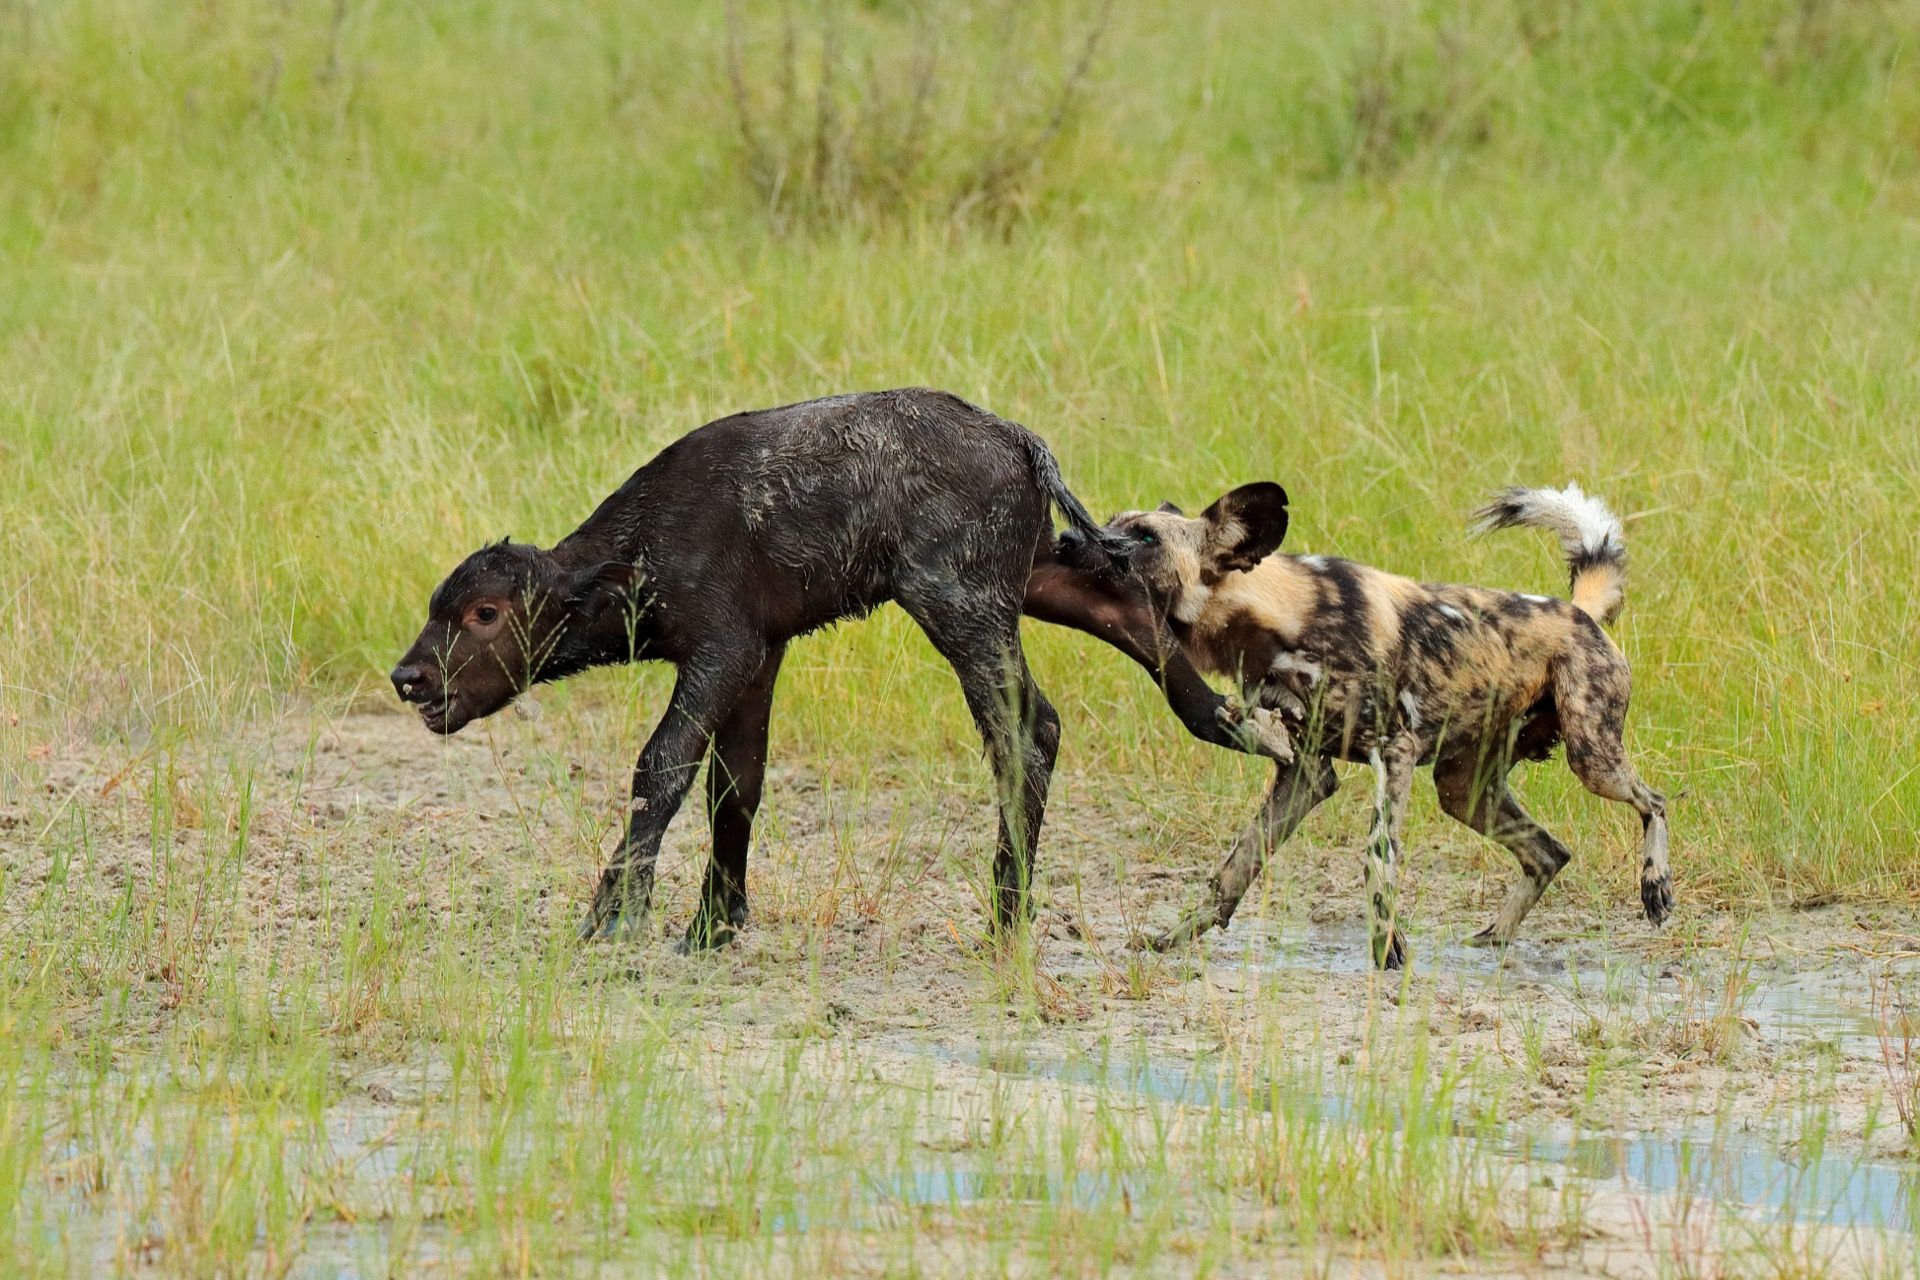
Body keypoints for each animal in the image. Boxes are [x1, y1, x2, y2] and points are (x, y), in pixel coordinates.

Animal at [389, 387, 1282, 951]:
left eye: (484, 613)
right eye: (438, 605)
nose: (410, 678)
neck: (642, 548)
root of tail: (1019, 441)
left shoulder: (720, 651)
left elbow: (664, 766)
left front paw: (615, 914)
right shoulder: (759, 659)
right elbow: (735, 786)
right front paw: (714, 925)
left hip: (959, 605)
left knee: (1028, 731)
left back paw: (1006, 916)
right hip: (1029, 578)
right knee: (1121, 602)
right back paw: (1228, 723)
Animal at [1059, 483, 1674, 971]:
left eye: (1144, 539)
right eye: (1108, 523)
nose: (1064, 541)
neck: (1274, 620)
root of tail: (1580, 613)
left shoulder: (1394, 750)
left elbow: (1378, 859)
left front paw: (1388, 952)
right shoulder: (1305, 771)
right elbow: (1233, 869)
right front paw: (1176, 936)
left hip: (1591, 757)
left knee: (1654, 801)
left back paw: (1655, 887)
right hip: (1464, 790)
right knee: (1550, 852)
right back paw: (1493, 939)